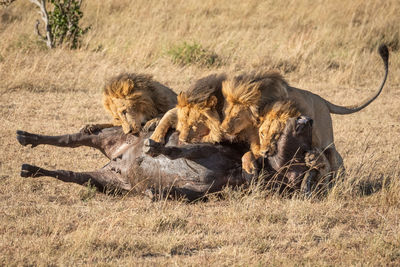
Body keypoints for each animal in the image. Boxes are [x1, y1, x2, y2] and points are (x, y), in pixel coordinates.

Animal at [220, 44, 390, 174]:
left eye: (236, 116)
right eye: (226, 113)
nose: (222, 129)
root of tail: (322, 100)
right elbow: (249, 152)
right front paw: (249, 166)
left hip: (324, 138)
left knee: (332, 156)